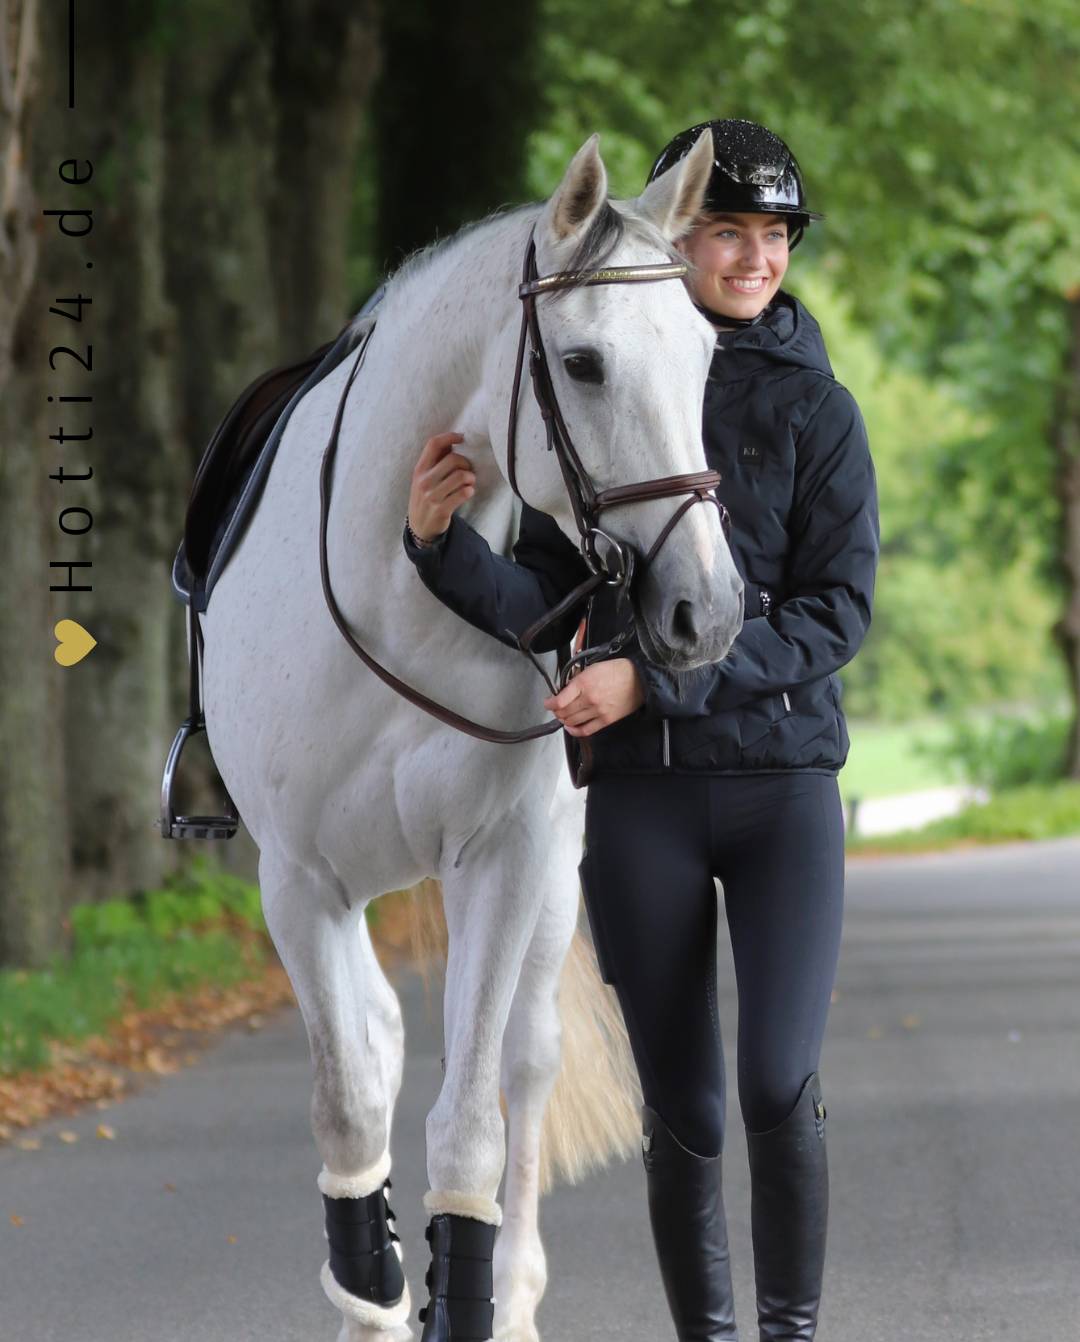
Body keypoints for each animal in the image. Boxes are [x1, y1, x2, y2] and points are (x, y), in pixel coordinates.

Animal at [199, 128, 740, 1342]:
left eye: (703, 357)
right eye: (583, 364)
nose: (710, 610)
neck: (391, 589)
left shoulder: (502, 859)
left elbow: (471, 1126)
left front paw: (469, 1294)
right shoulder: (298, 882)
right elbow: (351, 1102)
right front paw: (372, 1294)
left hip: (547, 882)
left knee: (526, 1062)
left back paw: (519, 1294)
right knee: (381, 1043)